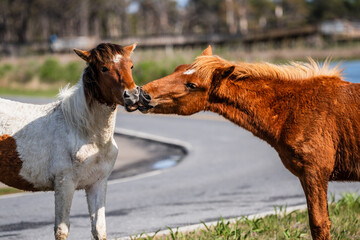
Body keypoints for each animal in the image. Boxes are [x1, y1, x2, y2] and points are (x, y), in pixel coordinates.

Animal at [0, 42, 138, 239]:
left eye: (131, 66)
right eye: (104, 68)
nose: (132, 96)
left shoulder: (97, 183)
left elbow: (99, 228)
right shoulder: (65, 184)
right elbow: (62, 230)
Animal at [132, 46, 360, 239]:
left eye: (192, 85)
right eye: (177, 69)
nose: (142, 94)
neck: (294, 109)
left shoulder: (314, 173)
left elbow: (319, 224)